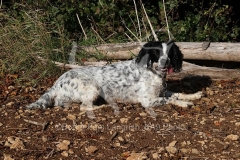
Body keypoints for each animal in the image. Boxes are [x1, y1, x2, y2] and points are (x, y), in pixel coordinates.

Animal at [26, 40, 202, 117]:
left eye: (170, 52)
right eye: (156, 51)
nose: (165, 61)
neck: (154, 72)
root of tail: (57, 83)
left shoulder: (161, 91)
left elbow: (176, 94)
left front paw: (194, 95)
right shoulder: (147, 100)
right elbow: (171, 99)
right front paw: (184, 103)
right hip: (93, 88)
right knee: (84, 107)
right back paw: (102, 106)